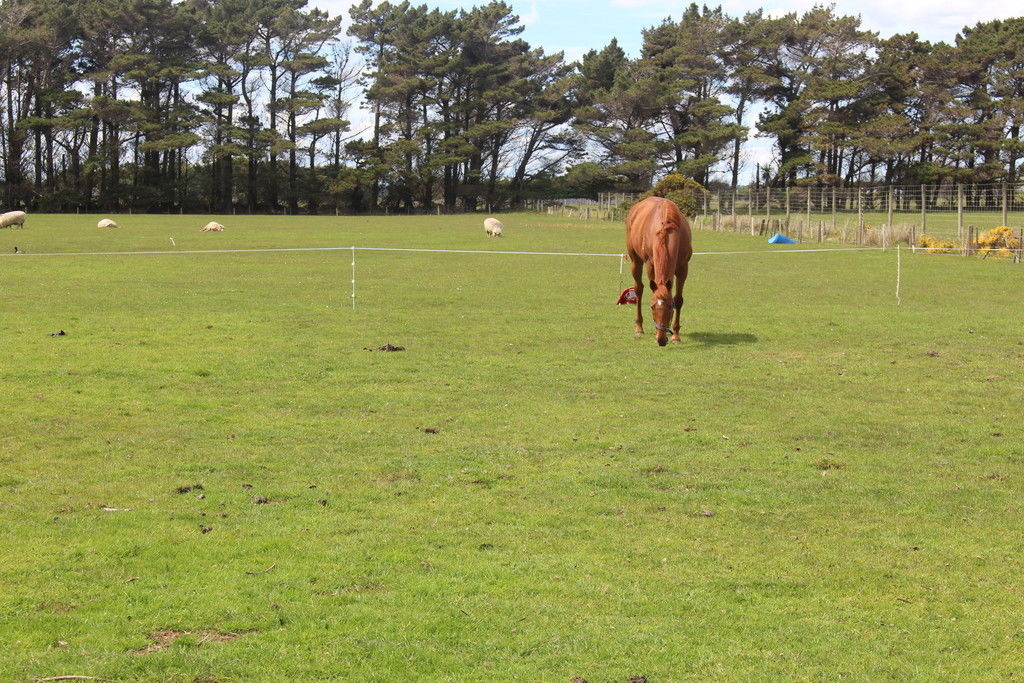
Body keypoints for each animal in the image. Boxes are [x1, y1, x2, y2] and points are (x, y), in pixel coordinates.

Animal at [622, 196, 696, 348]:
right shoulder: (651, 264)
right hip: (635, 261)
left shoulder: (683, 267)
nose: (661, 340)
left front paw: (676, 336)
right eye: (652, 307)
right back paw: (639, 328)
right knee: (639, 289)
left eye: (670, 306)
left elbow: (678, 299)